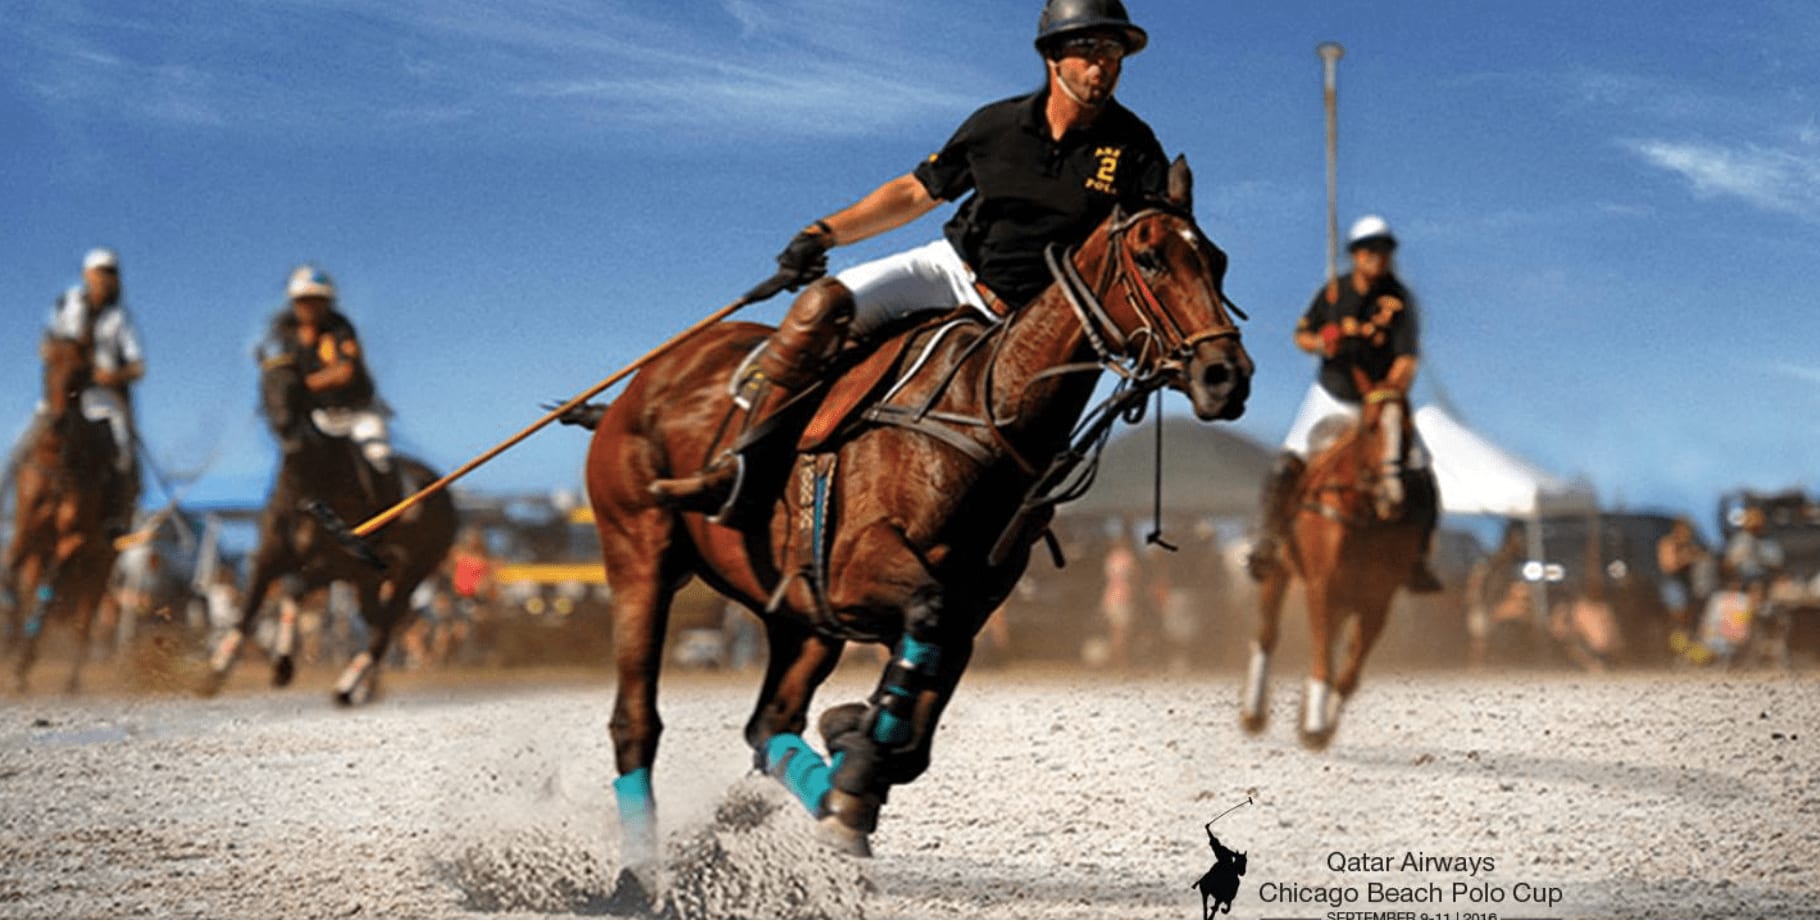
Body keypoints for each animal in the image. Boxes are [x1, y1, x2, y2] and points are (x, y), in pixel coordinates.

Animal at [3, 338, 124, 691]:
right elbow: (9, 571)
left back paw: (70, 679)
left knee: (84, 620)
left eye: (80, 373)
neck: (57, 460)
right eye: (46, 367)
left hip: (100, 569)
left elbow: (50, 587)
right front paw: (13, 641)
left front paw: (23, 656)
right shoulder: (25, 530)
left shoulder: (75, 538)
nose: (57, 422)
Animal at [202, 349, 458, 701]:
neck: (306, 485)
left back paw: (349, 687)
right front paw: (218, 669)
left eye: (296, 385)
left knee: (384, 626)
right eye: (263, 385)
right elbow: (249, 607)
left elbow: (293, 588)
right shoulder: (270, 557)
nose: (284, 427)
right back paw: (364, 685)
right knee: (379, 622)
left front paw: (283, 666)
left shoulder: (339, 566)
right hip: (372, 581)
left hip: (413, 572)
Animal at [582, 157, 1252, 872]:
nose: (1226, 376)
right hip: (639, 555)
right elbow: (922, 630)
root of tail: (630, 394)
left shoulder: (968, 606)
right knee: (636, 720)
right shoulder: (863, 572)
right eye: (1150, 258)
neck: (985, 406)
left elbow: (913, 733)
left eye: (1217, 260)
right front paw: (854, 761)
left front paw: (852, 760)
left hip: (800, 615)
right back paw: (640, 869)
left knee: (770, 723)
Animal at [1237, 372, 1434, 749]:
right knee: (1267, 635)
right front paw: (1315, 724)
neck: (1365, 511)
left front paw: (1320, 724)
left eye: (1407, 428)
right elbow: (1323, 656)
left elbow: (1349, 671)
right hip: (1279, 571)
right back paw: (1253, 714)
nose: (1394, 499)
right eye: (1370, 428)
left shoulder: (1378, 598)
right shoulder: (1321, 586)